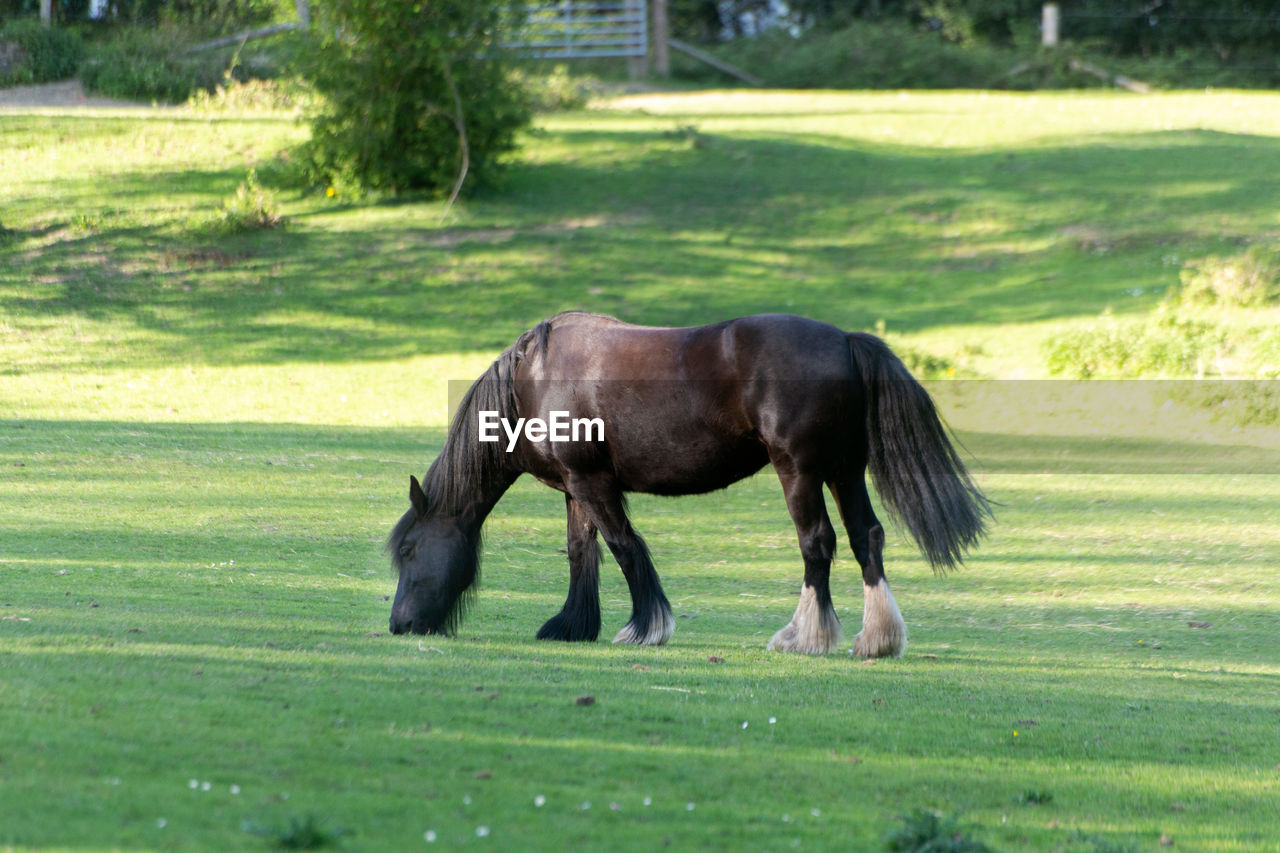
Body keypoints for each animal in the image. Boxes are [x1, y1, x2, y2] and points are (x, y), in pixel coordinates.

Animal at [386, 308, 988, 653]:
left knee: (818, 543)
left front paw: (645, 627)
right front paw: (573, 625)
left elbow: (624, 546)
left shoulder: (593, 484)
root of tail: (843, 340)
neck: (531, 378)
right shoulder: (577, 487)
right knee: (867, 537)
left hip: (800, 472)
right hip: (843, 472)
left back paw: (804, 637)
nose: (398, 624)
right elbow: (583, 553)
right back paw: (876, 639)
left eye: (410, 551)